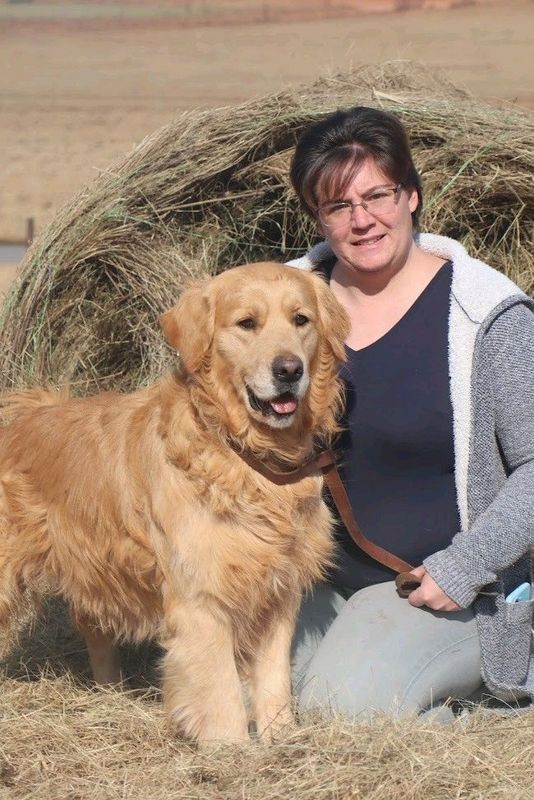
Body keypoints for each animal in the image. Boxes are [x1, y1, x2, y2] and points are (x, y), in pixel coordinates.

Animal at [0, 262, 350, 744]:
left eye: (301, 320)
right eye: (247, 323)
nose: (289, 370)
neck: (242, 454)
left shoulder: (278, 593)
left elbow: (274, 680)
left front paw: (281, 741)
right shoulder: (202, 600)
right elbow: (220, 693)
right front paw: (232, 750)